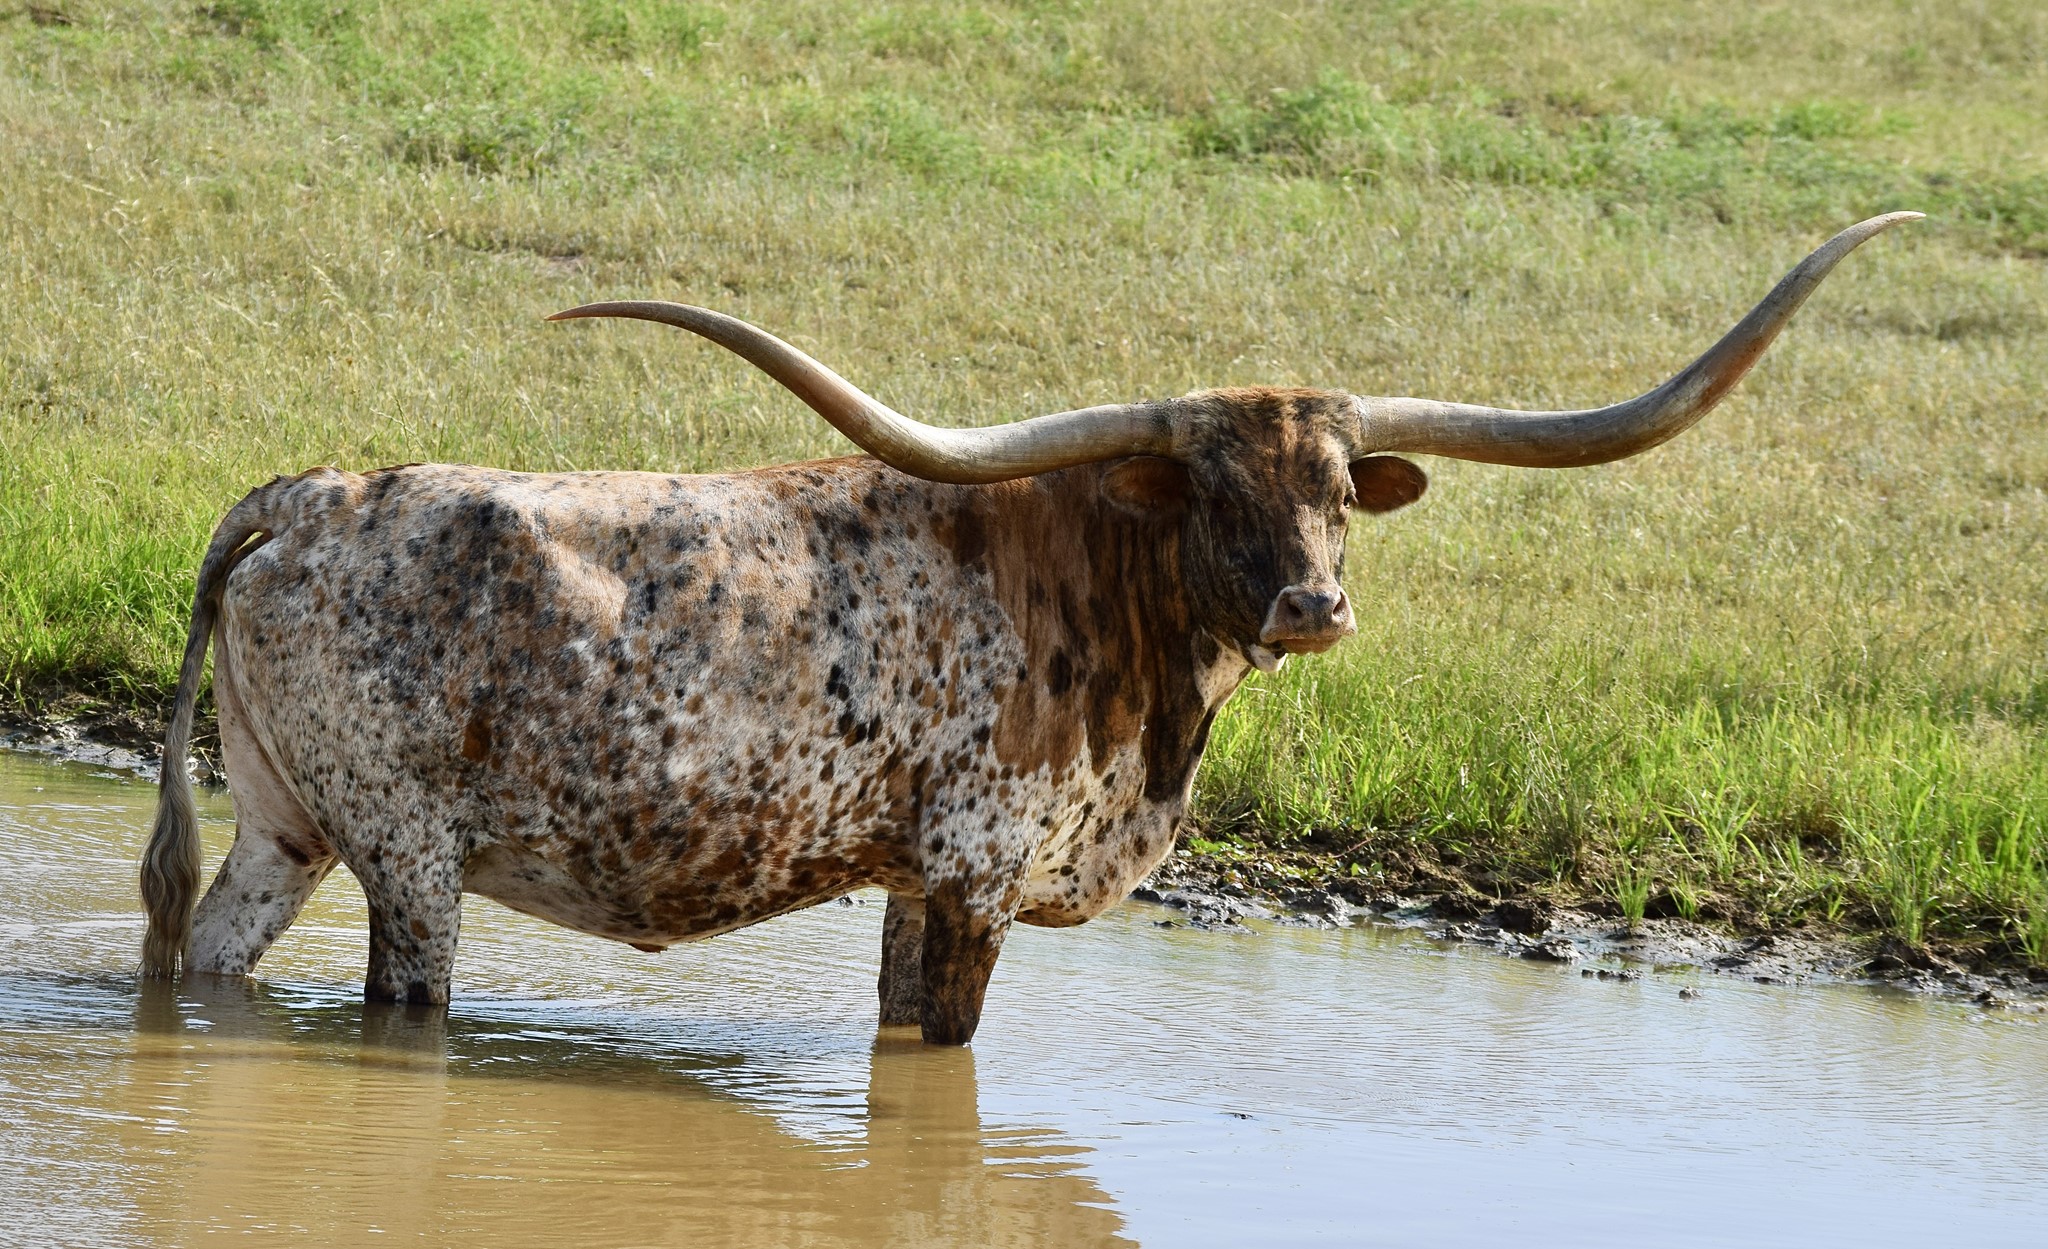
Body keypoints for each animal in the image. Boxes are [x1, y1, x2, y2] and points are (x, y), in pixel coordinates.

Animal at [139, 214, 1915, 1044]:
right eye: (1211, 483)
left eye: (1341, 485)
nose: (1314, 600)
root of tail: (308, 491)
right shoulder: (982, 872)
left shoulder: (913, 881)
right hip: (409, 853)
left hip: (286, 824)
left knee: (203, 960)